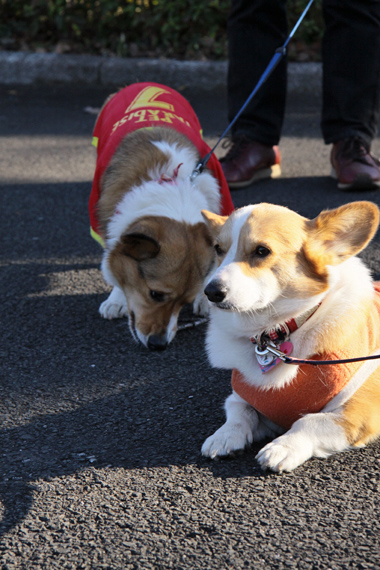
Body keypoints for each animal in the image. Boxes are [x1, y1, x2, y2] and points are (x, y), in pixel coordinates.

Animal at [89, 82, 235, 348]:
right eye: (155, 294)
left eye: (184, 302)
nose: (159, 346)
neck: (172, 185)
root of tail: (146, 83)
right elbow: (113, 256)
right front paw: (116, 299)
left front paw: (204, 298)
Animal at [202, 201, 380, 470]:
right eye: (218, 249)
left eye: (262, 251)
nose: (210, 292)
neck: (274, 333)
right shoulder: (247, 400)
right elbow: (239, 412)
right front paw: (223, 437)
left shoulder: (357, 412)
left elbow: (310, 421)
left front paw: (282, 447)